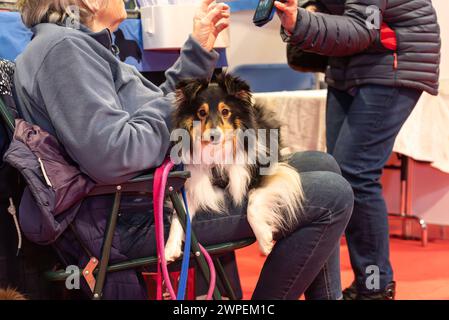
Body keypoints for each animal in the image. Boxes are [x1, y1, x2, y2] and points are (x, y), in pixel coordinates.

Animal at [165, 74, 304, 262]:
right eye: (201, 113)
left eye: (225, 111)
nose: (214, 136)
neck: (217, 153)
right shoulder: (194, 186)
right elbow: (178, 214)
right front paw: (169, 248)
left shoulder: (267, 172)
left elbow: (253, 201)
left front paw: (264, 240)